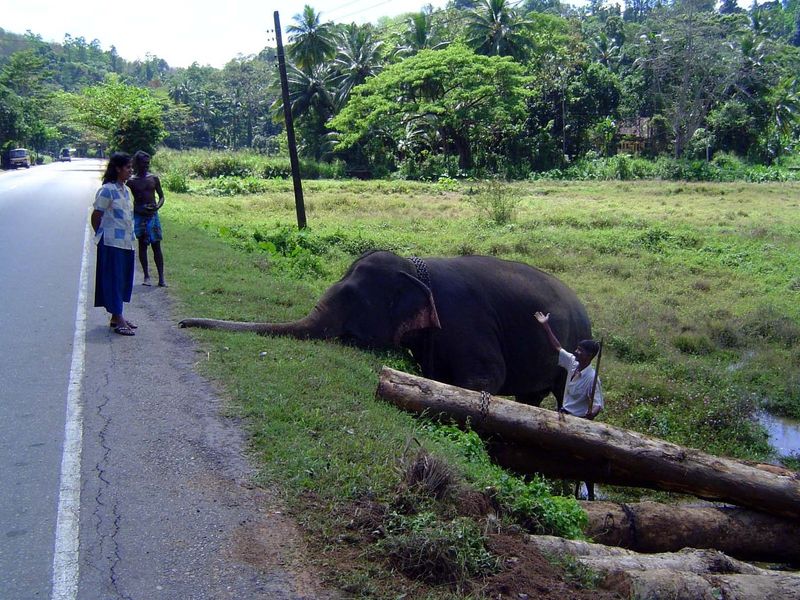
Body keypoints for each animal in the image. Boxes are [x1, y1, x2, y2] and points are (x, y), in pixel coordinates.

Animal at [180, 250, 592, 406]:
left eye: (351, 300)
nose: (182, 323)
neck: (416, 267)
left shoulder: (466, 321)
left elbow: (486, 378)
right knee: (531, 398)